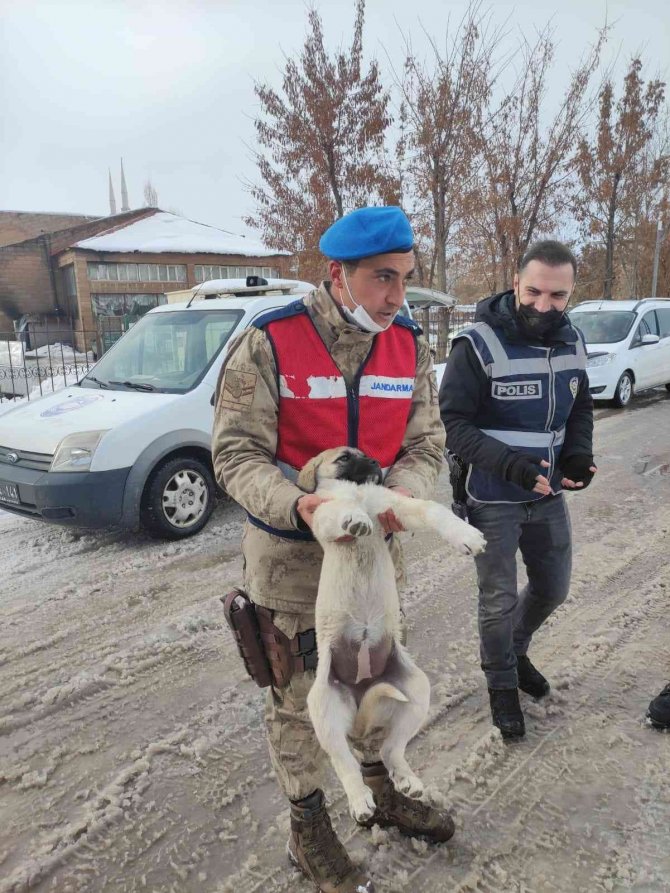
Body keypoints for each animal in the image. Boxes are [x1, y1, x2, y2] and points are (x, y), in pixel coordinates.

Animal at [300, 446, 488, 824]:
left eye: (365, 453)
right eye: (344, 457)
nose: (376, 462)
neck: (358, 491)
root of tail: (360, 700)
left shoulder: (396, 506)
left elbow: (432, 508)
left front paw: (466, 535)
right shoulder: (323, 516)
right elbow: (338, 509)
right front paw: (354, 518)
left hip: (416, 693)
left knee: (390, 750)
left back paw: (408, 782)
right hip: (323, 710)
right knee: (345, 763)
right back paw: (359, 800)